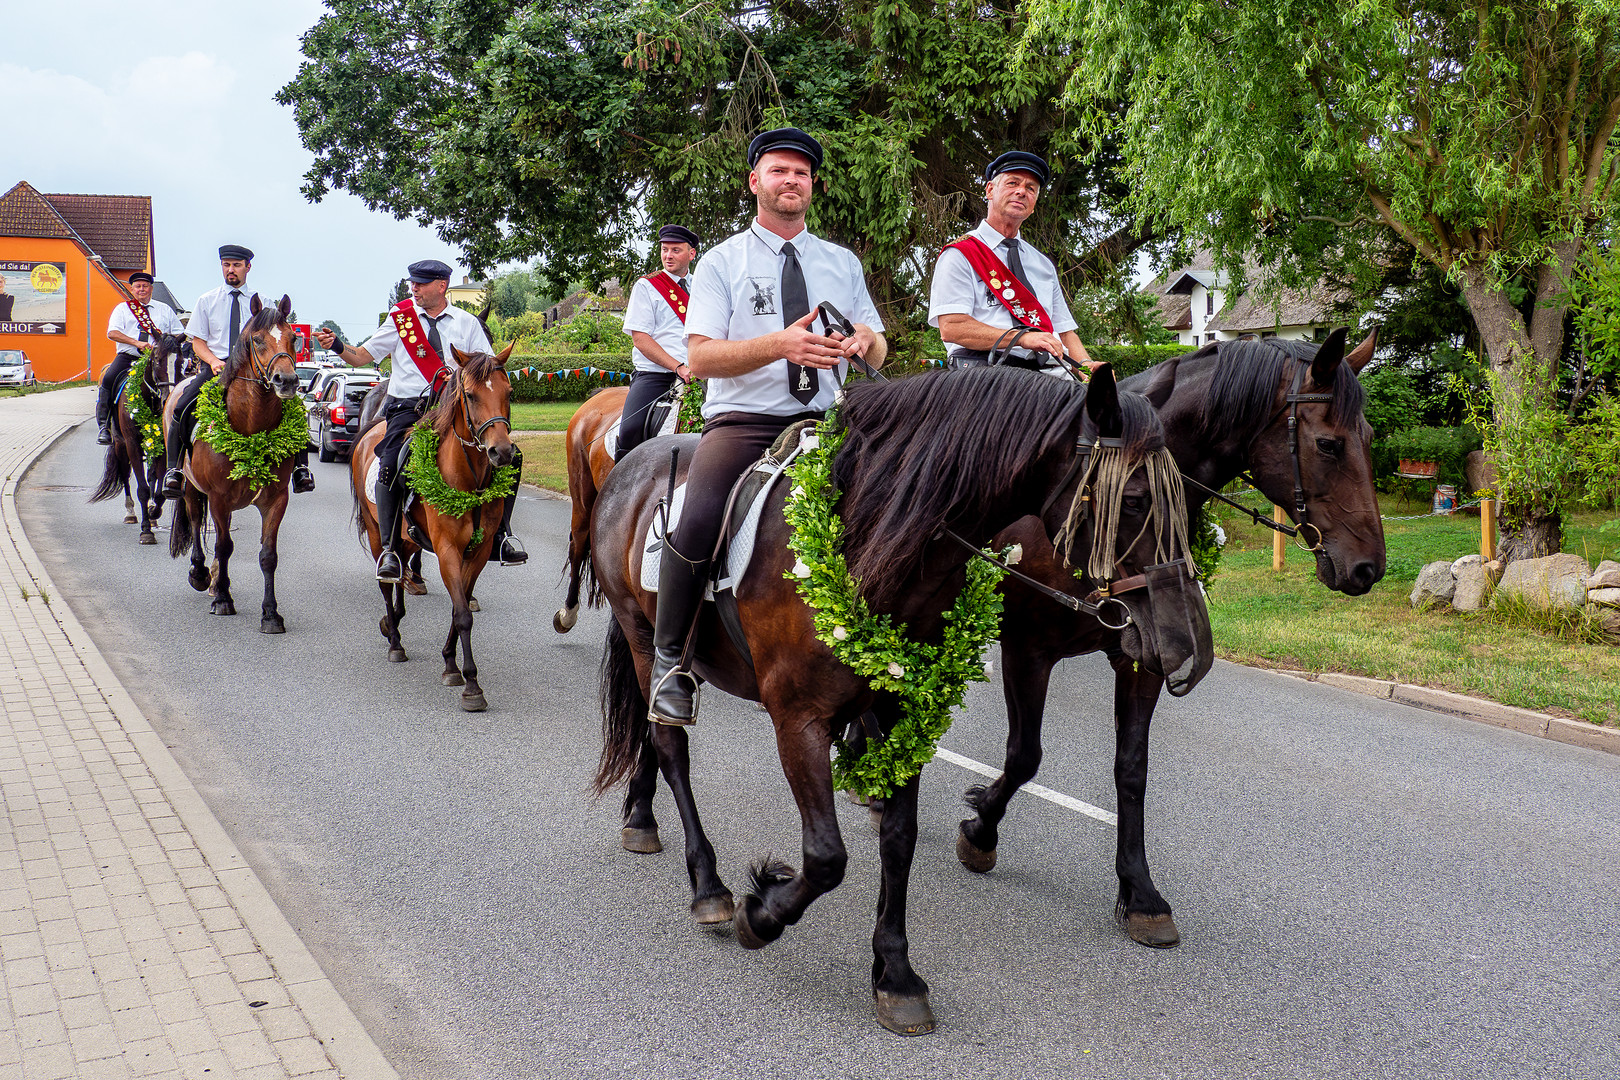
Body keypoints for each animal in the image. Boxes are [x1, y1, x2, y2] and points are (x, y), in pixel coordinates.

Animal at [90, 333, 189, 544]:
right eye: (157, 359)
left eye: (180, 362)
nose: (168, 398)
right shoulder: (132, 443)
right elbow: (142, 488)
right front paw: (146, 530)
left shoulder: (162, 445)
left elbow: (159, 488)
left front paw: (153, 513)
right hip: (120, 445)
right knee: (125, 475)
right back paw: (130, 513)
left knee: (151, 475)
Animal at [166, 296, 302, 634]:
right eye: (257, 339)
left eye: (293, 339)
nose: (287, 381)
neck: (251, 428)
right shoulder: (218, 498)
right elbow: (224, 546)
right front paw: (223, 600)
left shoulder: (276, 499)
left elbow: (268, 555)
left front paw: (271, 614)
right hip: (190, 488)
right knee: (196, 520)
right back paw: (201, 575)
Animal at [351, 341, 515, 705]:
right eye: (471, 395)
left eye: (509, 392)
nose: (501, 452)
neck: (469, 480)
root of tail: (374, 428)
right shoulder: (447, 550)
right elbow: (463, 614)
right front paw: (471, 684)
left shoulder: (477, 553)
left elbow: (459, 606)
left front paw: (450, 662)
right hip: (376, 531)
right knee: (388, 581)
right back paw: (395, 642)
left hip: (407, 535)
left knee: (400, 571)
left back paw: (393, 621)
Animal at [589, 367, 1211, 1036]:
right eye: (1135, 500)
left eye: (1186, 499)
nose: (1186, 644)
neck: (869, 544)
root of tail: (634, 463)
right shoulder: (798, 719)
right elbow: (826, 856)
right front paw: (762, 914)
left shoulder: (903, 709)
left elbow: (899, 838)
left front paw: (894, 972)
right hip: (644, 640)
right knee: (670, 743)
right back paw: (706, 884)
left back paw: (645, 821)